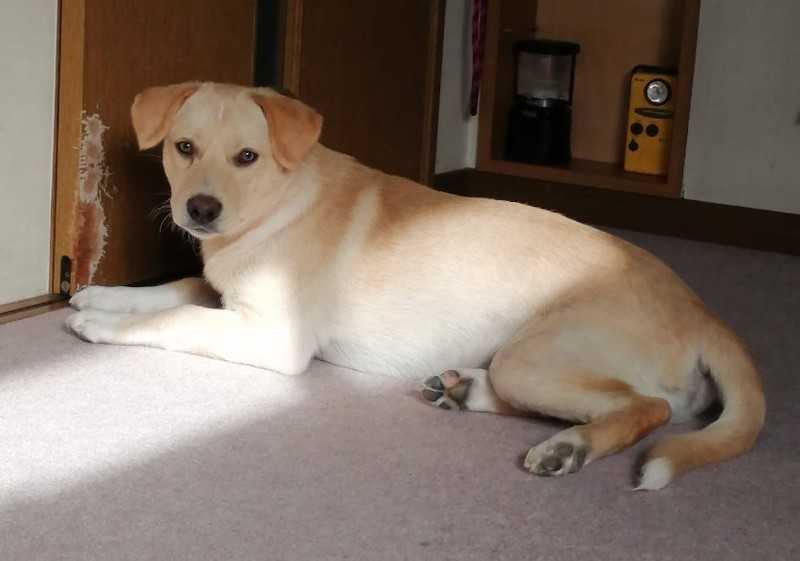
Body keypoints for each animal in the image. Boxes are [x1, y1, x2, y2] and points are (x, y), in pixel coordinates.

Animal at [66, 82, 765, 490]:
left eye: (247, 157)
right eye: (183, 147)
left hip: (534, 355)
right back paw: (462, 389)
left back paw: (568, 448)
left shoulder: (274, 336)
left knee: (648, 410)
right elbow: (180, 288)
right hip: (526, 363)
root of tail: (703, 312)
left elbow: (180, 318)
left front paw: (103, 325)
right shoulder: (229, 295)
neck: (276, 205)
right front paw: (103, 296)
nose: (201, 210)